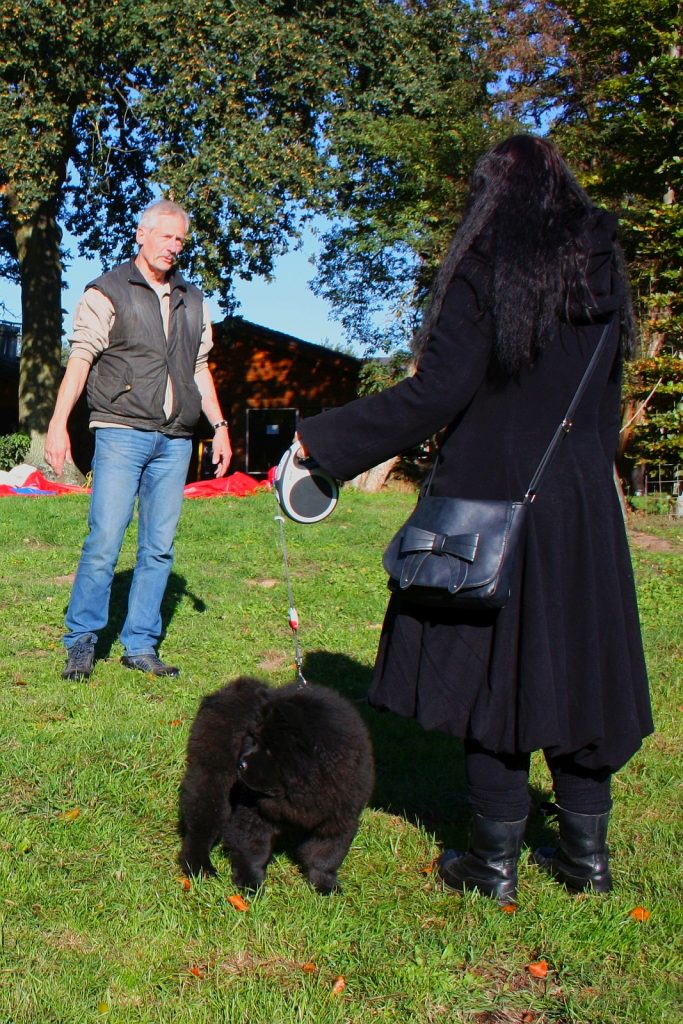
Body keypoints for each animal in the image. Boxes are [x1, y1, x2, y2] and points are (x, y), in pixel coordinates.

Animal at [179, 679, 376, 888]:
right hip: (213, 780)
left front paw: (325, 885)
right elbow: (253, 848)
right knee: (202, 825)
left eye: (269, 751)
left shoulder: (339, 817)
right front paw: (250, 883)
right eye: (253, 740)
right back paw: (200, 868)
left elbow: (326, 854)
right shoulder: (254, 810)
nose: (241, 763)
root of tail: (228, 692)